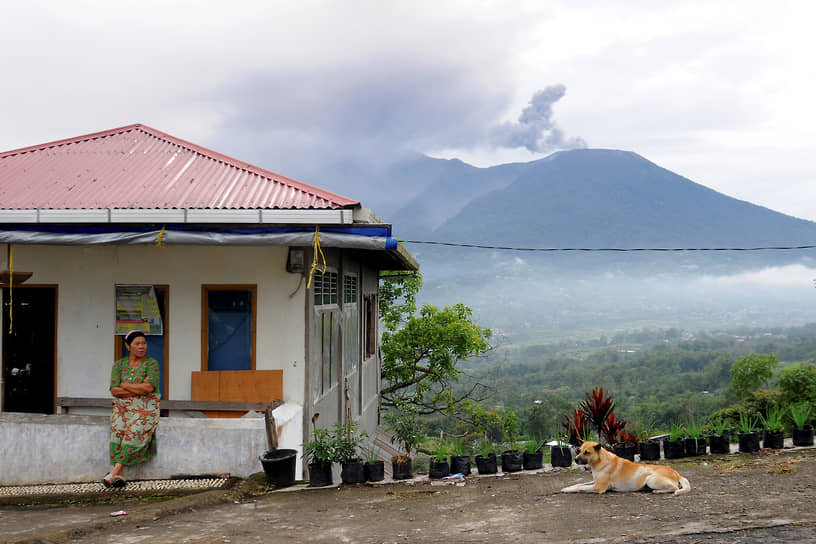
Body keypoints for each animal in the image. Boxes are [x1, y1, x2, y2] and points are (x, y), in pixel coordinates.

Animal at [560, 440, 688, 496]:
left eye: (587, 452)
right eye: (579, 450)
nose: (576, 460)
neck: (600, 462)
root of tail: (677, 474)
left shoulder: (598, 487)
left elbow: (581, 487)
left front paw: (569, 490)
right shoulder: (594, 481)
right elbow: (578, 484)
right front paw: (567, 488)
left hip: (651, 480)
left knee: (675, 488)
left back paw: (658, 491)